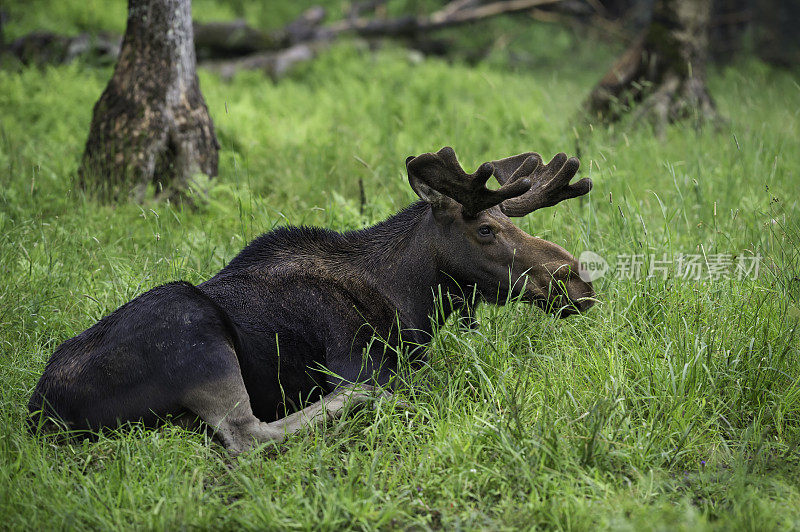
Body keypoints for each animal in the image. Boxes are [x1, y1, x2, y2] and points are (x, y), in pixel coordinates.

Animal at [28, 147, 592, 454]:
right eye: (485, 229)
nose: (578, 281)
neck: (410, 301)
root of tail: (41, 412)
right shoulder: (357, 357)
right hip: (195, 334)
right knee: (247, 434)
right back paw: (357, 401)